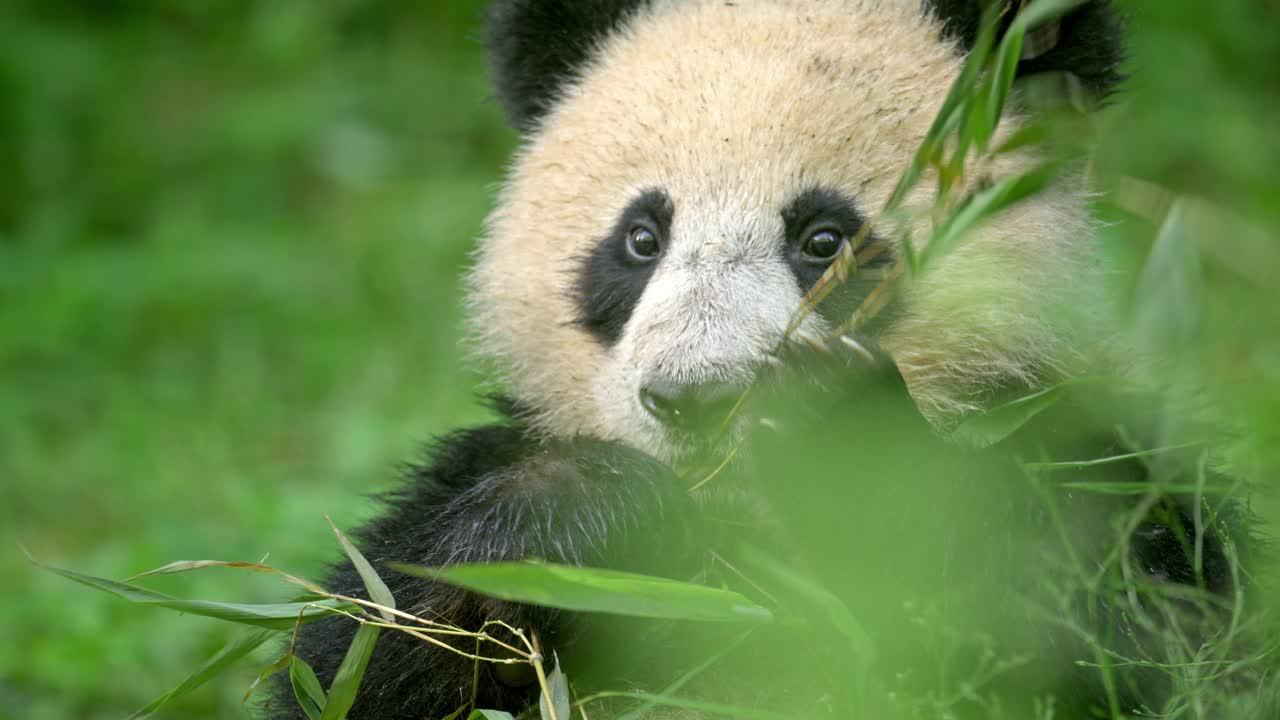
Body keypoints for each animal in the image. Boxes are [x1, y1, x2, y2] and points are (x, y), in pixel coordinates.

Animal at [267, 1, 1239, 717]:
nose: (697, 399)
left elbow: (1138, 633)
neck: (741, 535)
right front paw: (571, 516)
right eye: (641, 238)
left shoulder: (1075, 442)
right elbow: (352, 653)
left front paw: (836, 435)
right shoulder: (482, 461)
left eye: (823, 240)